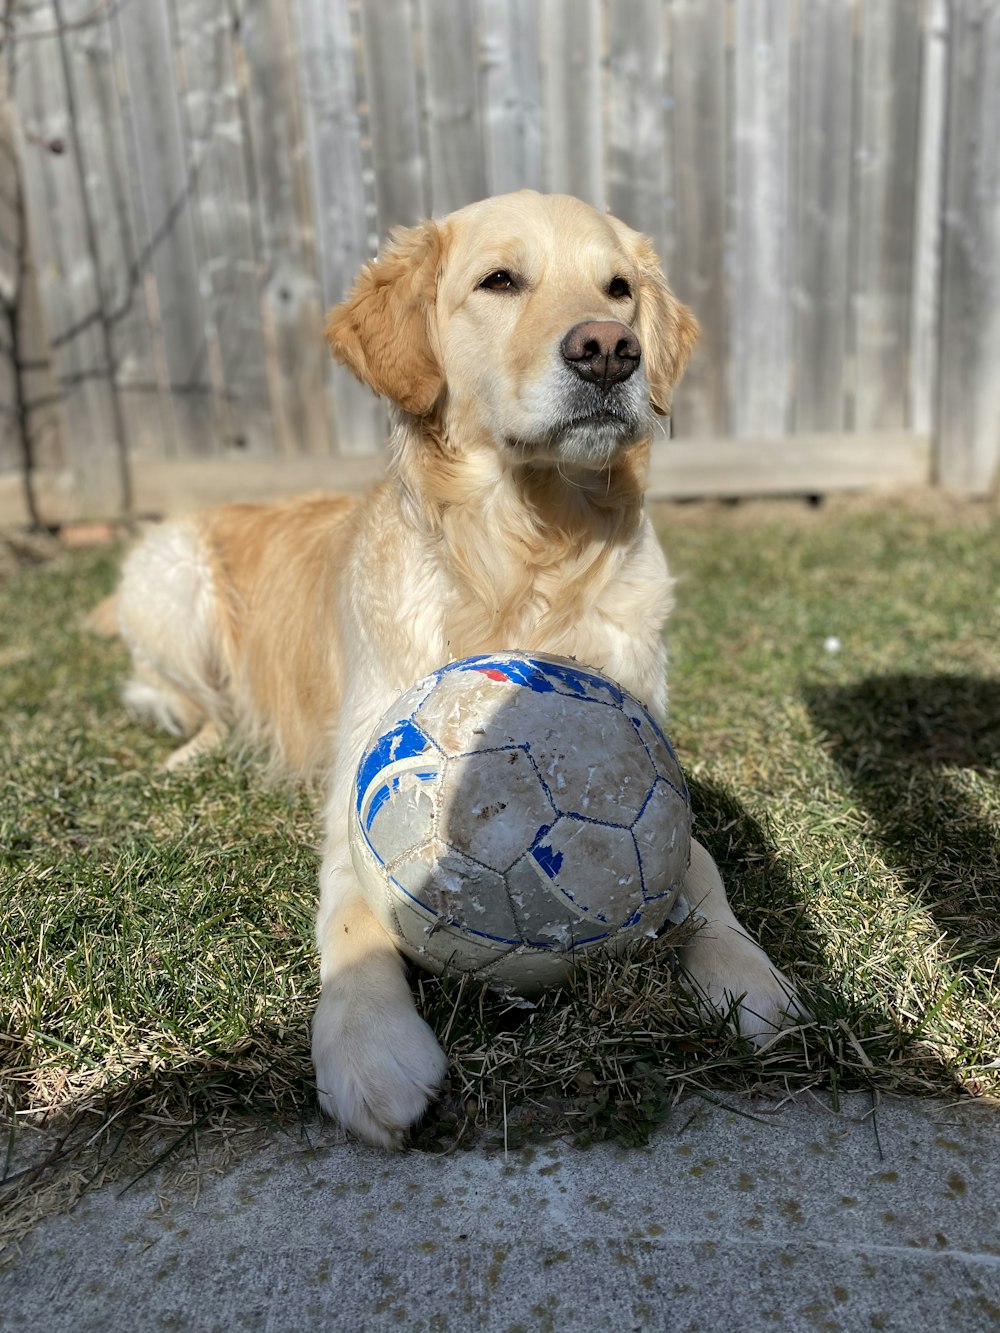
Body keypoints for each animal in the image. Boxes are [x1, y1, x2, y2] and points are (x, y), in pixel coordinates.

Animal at [117, 187, 805, 1146]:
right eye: (500, 280)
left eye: (619, 289)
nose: (609, 349)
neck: (527, 553)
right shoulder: (356, 792)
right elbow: (353, 909)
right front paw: (368, 1043)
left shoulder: (655, 762)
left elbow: (698, 865)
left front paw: (746, 977)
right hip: (166, 572)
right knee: (199, 707)